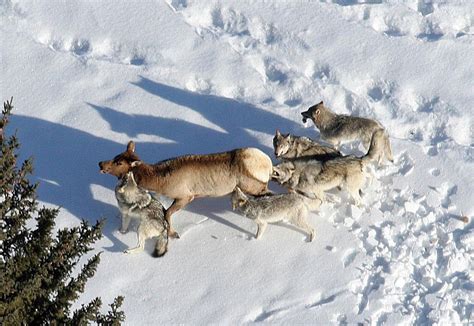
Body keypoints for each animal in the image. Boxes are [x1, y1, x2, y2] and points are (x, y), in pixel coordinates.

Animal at [99, 141, 274, 238]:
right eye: (116, 156)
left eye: (119, 163)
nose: (100, 163)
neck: (159, 180)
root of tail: (268, 164)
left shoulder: (185, 197)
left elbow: (167, 214)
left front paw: (173, 234)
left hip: (255, 187)